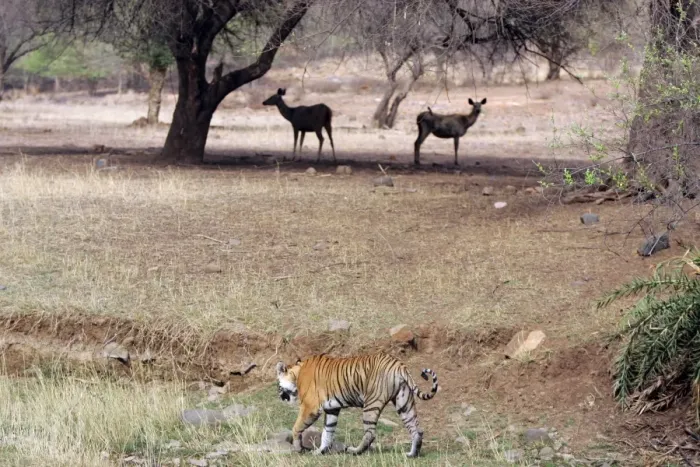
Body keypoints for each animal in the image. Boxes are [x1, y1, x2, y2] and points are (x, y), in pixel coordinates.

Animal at [275, 352, 439, 457]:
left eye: (278, 386)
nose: (280, 397)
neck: (298, 373)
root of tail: (399, 364)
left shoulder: (310, 408)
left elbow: (297, 427)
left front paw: (298, 448)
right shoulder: (332, 409)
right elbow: (327, 432)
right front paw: (320, 451)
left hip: (371, 403)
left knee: (370, 433)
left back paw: (354, 451)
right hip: (404, 402)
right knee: (417, 430)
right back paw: (411, 454)